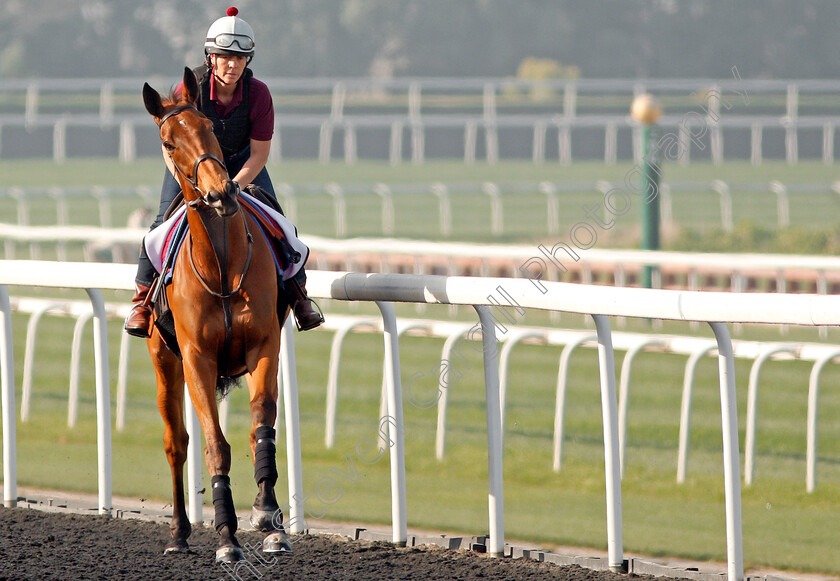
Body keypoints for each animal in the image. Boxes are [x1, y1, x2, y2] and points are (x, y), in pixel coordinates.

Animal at [141, 68, 292, 560]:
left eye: (208, 128)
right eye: (168, 142)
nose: (221, 192)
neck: (222, 268)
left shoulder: (264, 344)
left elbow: (262, 424)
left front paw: (268, 517)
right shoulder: (196, 358)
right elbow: (213, 445)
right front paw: (226, 537)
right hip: (163, 360)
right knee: (176, 443)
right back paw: (178, 533)